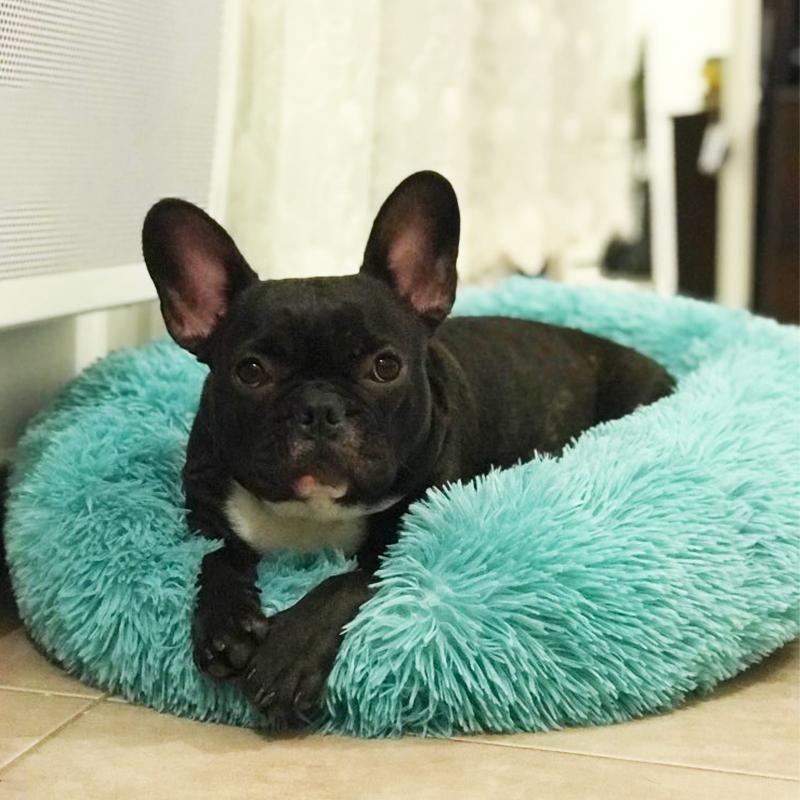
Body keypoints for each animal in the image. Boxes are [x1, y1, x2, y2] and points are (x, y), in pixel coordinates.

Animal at [141, 172, 672, 728]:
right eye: (250, 372)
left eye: (385, 366)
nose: (319, 407)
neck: (309, 518)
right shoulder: (206, 515)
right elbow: (216, 559)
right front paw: (226, 626)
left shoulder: (411, 539)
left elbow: (345, 582)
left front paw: (289, 654)